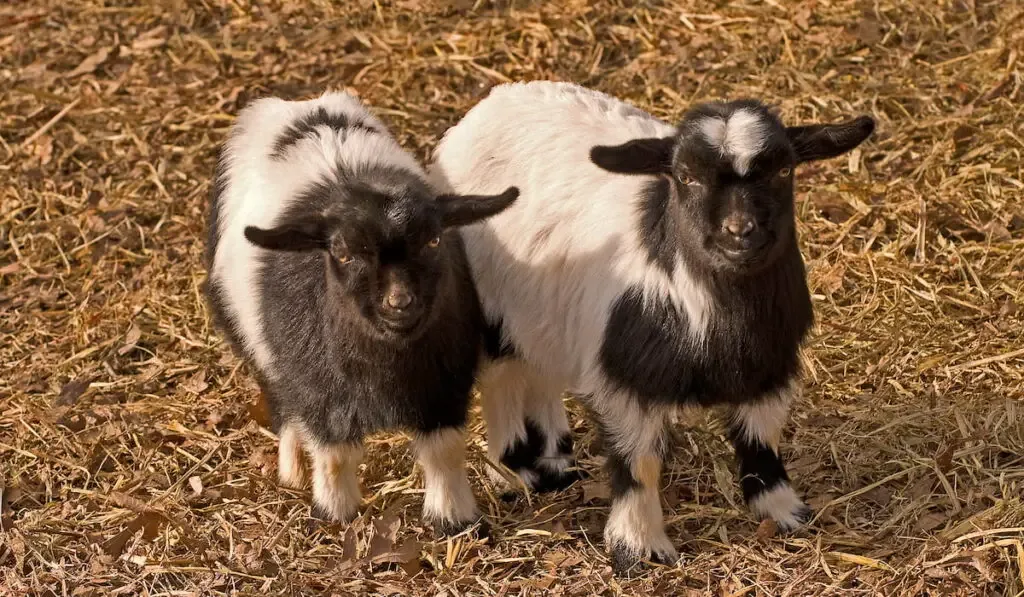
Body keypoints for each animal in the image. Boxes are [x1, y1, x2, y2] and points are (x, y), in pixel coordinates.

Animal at [202, 91, 516, 536]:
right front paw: (335, 512)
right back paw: (292, 469)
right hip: (255, 346)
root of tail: (299, 105)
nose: (400, 302)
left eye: (434, 241)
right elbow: (335, 456)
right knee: (281, 404)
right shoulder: (319, 390)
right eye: (343, 253)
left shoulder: (443, 383)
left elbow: (444, 451)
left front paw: (453, 517)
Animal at [428, 81, 876, 573]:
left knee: (540, 364)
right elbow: (639, 463)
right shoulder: (626, 381)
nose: (739, 232)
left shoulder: (769, 364)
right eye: (685, 176)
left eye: (783, 170)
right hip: (488, 300)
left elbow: (762, 439)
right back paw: (514, 470)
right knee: (502, 375)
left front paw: (783, 511)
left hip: (544, 308)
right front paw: (638, 547)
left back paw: (555, 463)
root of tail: (498, 97)